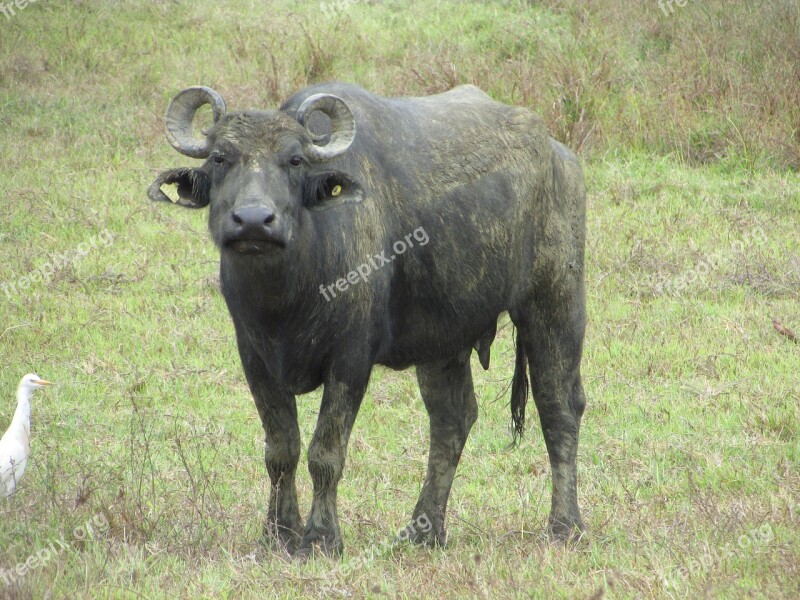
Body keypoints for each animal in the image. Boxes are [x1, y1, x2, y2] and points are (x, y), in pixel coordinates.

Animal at [148, 82, 588, 556]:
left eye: (294, 160)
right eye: (220, 158)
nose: (253, 221)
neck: (288, 294)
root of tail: (559, 155)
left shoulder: (350, 358)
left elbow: (325, 453)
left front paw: (321, 539)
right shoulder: (255, 358)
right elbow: (281, 451)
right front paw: (279, 533)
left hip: (555, 304)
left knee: (559, 408)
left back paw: (565, 526)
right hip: (442, 341)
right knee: (452, 420)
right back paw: (423, 530)